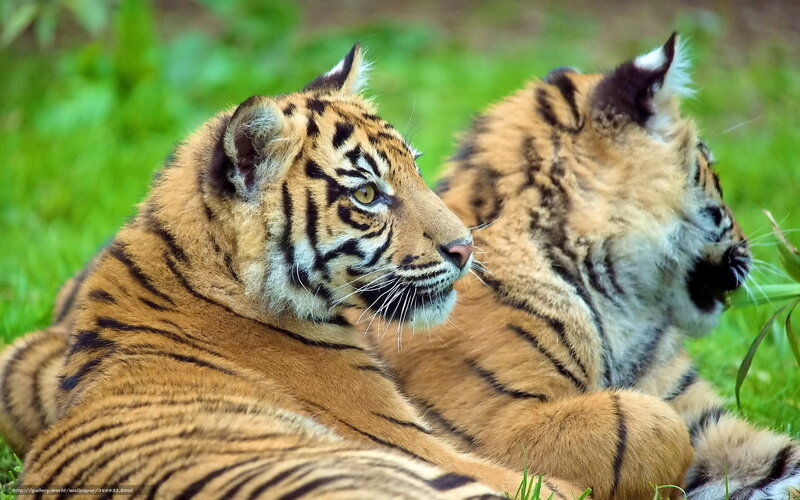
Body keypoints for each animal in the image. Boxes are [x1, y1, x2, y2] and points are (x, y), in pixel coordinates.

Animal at [370, 34, 800, 500]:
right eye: (711, 168)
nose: (750, 249)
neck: (622, 305)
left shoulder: (705, 420)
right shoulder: (495, 426)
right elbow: (651, 426)